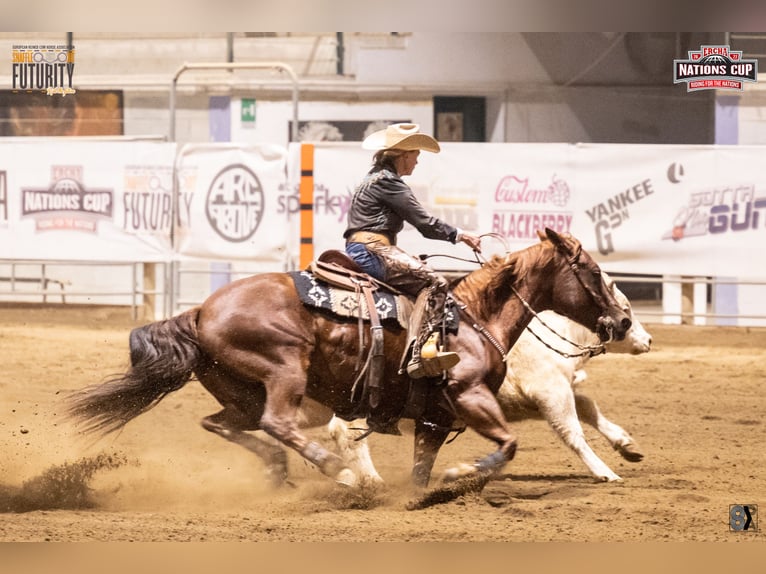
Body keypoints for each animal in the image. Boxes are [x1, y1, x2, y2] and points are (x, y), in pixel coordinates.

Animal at [67, 230, 632, 490]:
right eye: (595, 272)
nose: (624, 323)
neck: (474, 317)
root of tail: (201, 310)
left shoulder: (434, 417)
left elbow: (423, 467)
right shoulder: (468, 395)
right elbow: (510, 443)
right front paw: (463, 471)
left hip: (238, 392)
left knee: (223, 423)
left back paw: (284, 470)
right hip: (283, 369)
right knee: (279, 422)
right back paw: (336, 471)